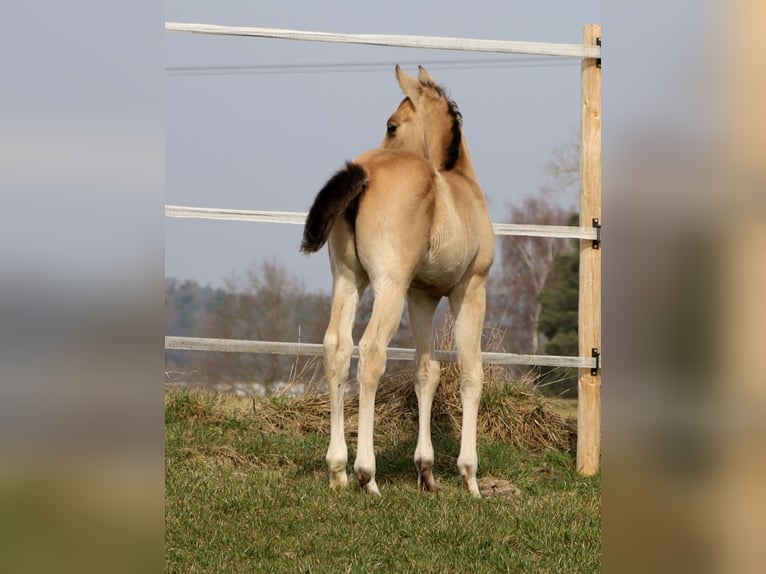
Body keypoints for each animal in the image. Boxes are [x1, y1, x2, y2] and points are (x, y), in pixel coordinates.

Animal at [300, 66, 494, 497]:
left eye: (392, 125)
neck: (459, 182)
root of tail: (363, 172)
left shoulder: (421, 295)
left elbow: (427, 372)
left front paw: (426, 471)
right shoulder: (470, 290)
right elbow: (471, 372)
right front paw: (470, 476)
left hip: (349, 279)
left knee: (337, 347)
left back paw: (338, 470)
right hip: (387, 285)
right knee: (371, 351)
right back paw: (366, 475)